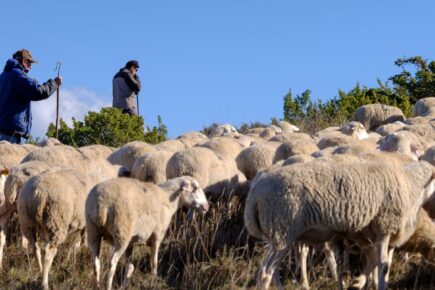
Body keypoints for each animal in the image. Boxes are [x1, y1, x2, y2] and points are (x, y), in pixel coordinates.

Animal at [245, 159, 435, 290]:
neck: (412, 185)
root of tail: (254, 195)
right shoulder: (384, 228)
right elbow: (383, 267)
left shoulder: (362, 234)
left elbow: (373, 260)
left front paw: (357, 283)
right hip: (282, 231)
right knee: (266, 272)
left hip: (275, 236)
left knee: (271, 271)